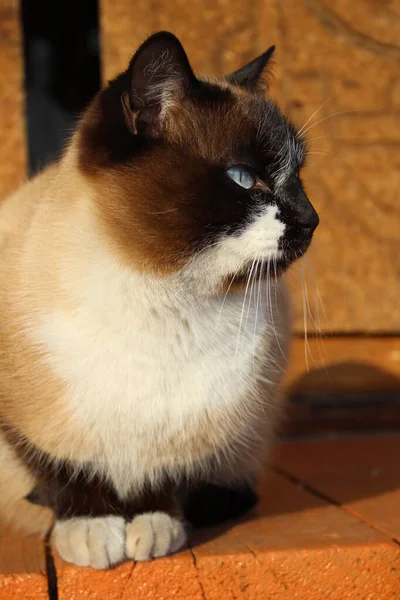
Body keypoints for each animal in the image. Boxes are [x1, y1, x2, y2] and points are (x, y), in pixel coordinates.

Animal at [0, 31, 318, 568]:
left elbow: (164, 483)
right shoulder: (25, 425)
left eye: (298, 177)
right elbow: (66, 473)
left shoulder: (196, 432)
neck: (164, 294)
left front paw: (152, 530)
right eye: (242, 178)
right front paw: (92, 532)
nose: (312, 219)